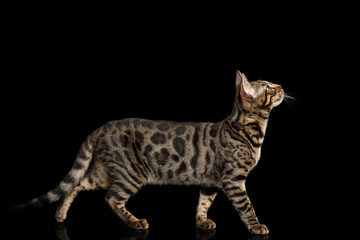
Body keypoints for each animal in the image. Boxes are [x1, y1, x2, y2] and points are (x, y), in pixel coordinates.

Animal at [12, 71, 286, 234]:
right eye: (269, 88)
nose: (282, 86)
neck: (249, 128)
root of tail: (101, 128)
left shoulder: (211, 181)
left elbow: (203, 203)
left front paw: (201, 222)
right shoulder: (233, 179)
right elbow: (246, 205)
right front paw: (256, 226)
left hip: (104, 172)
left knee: (77, 184)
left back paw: (60, 214)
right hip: (131, 172)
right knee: (111, 198)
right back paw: (135, 222)